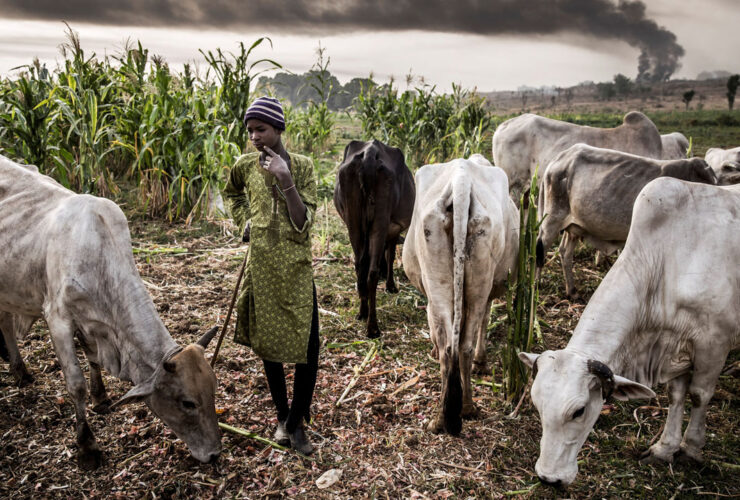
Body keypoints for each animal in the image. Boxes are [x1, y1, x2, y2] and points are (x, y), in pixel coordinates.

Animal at [0, 155, 221, 469]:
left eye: (214, 387)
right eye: (187, 402)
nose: (215, 453)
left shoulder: (92, 323)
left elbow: (93, 360)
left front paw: (101, 398)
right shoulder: (57, 318)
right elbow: (75, 384)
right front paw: (87, 446)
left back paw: (19, 371)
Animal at [334, 140, 415, 338]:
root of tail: (370, 153)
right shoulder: (393, 231)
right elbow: (391, 256)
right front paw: (391, 286)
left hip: (353, 223)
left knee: (360, 268)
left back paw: (363, 312)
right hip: (380, 222)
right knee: (371, 272)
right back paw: (373, 327)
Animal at [402, 154, 519, 434]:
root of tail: (461, 179)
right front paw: (481, 360)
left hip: (439, 281)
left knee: (450, 346)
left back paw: (444, 417)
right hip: (477, 281)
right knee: (462, 345)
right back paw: (464, 409)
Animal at [520, 177, 740, 487]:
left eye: (578, 411)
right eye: (537, 405)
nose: (548, 478)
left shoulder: (714, 341)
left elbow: (699, 395)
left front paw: (691, 450)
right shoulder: (677, 345)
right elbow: (676, 395)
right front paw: (665, 448)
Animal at [535, 144, 717, 300]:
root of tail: (560, 159)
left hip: (573, 227)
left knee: (565, 252)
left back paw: (572, 291)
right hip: (551, 219)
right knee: (541, 249)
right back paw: (536, 285)